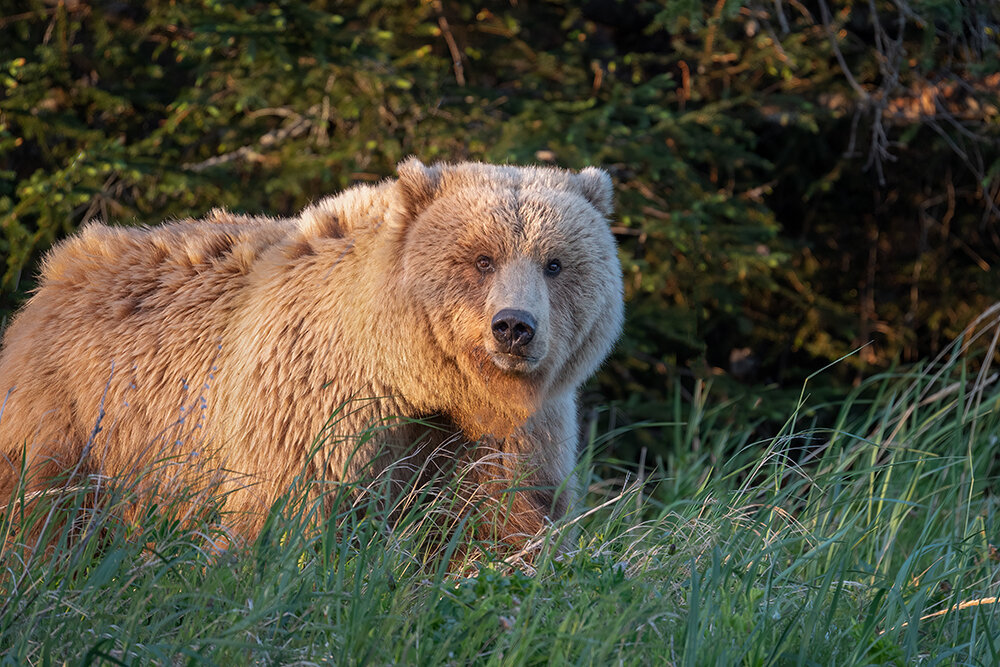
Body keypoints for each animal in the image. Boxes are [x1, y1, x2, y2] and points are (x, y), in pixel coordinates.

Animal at [0, 159, 620, 552]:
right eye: (481, 258)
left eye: (555, 263)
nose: (514, 327)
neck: (419, 377)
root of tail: (57, 270)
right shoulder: (314, 395)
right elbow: (291, 505)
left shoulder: (508, 432)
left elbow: (506, 516)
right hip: (76, 416)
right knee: (40, 508)